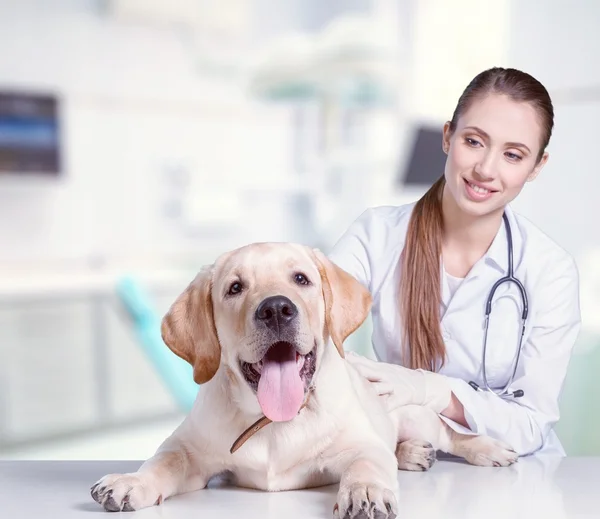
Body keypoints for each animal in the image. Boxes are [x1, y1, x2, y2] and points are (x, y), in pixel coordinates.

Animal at [89, 243, 516, 516]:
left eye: (301, 279)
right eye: (234, 287)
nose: (276, 309)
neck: (272, 423)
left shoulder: (359, 444)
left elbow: (367, 463)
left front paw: (365, 491)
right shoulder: (191, 451)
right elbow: (164, 460)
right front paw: (130, 481)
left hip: (414, 413)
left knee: (451, 434)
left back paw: (487, 448)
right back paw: (412, 453)